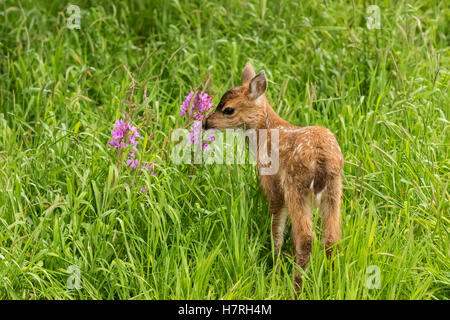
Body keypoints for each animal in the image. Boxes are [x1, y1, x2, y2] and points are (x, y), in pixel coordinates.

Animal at [204, 62, 344, 288]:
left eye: (228, 109)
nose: (205, 123)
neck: (266, 135)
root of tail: (323, 160)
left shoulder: (272, 185)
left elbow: (276, 230)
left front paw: (275, 268)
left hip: (296, 187)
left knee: (306, 238)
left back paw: (296, 287)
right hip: (334, 192)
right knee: (331, 238)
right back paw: (332, 282)